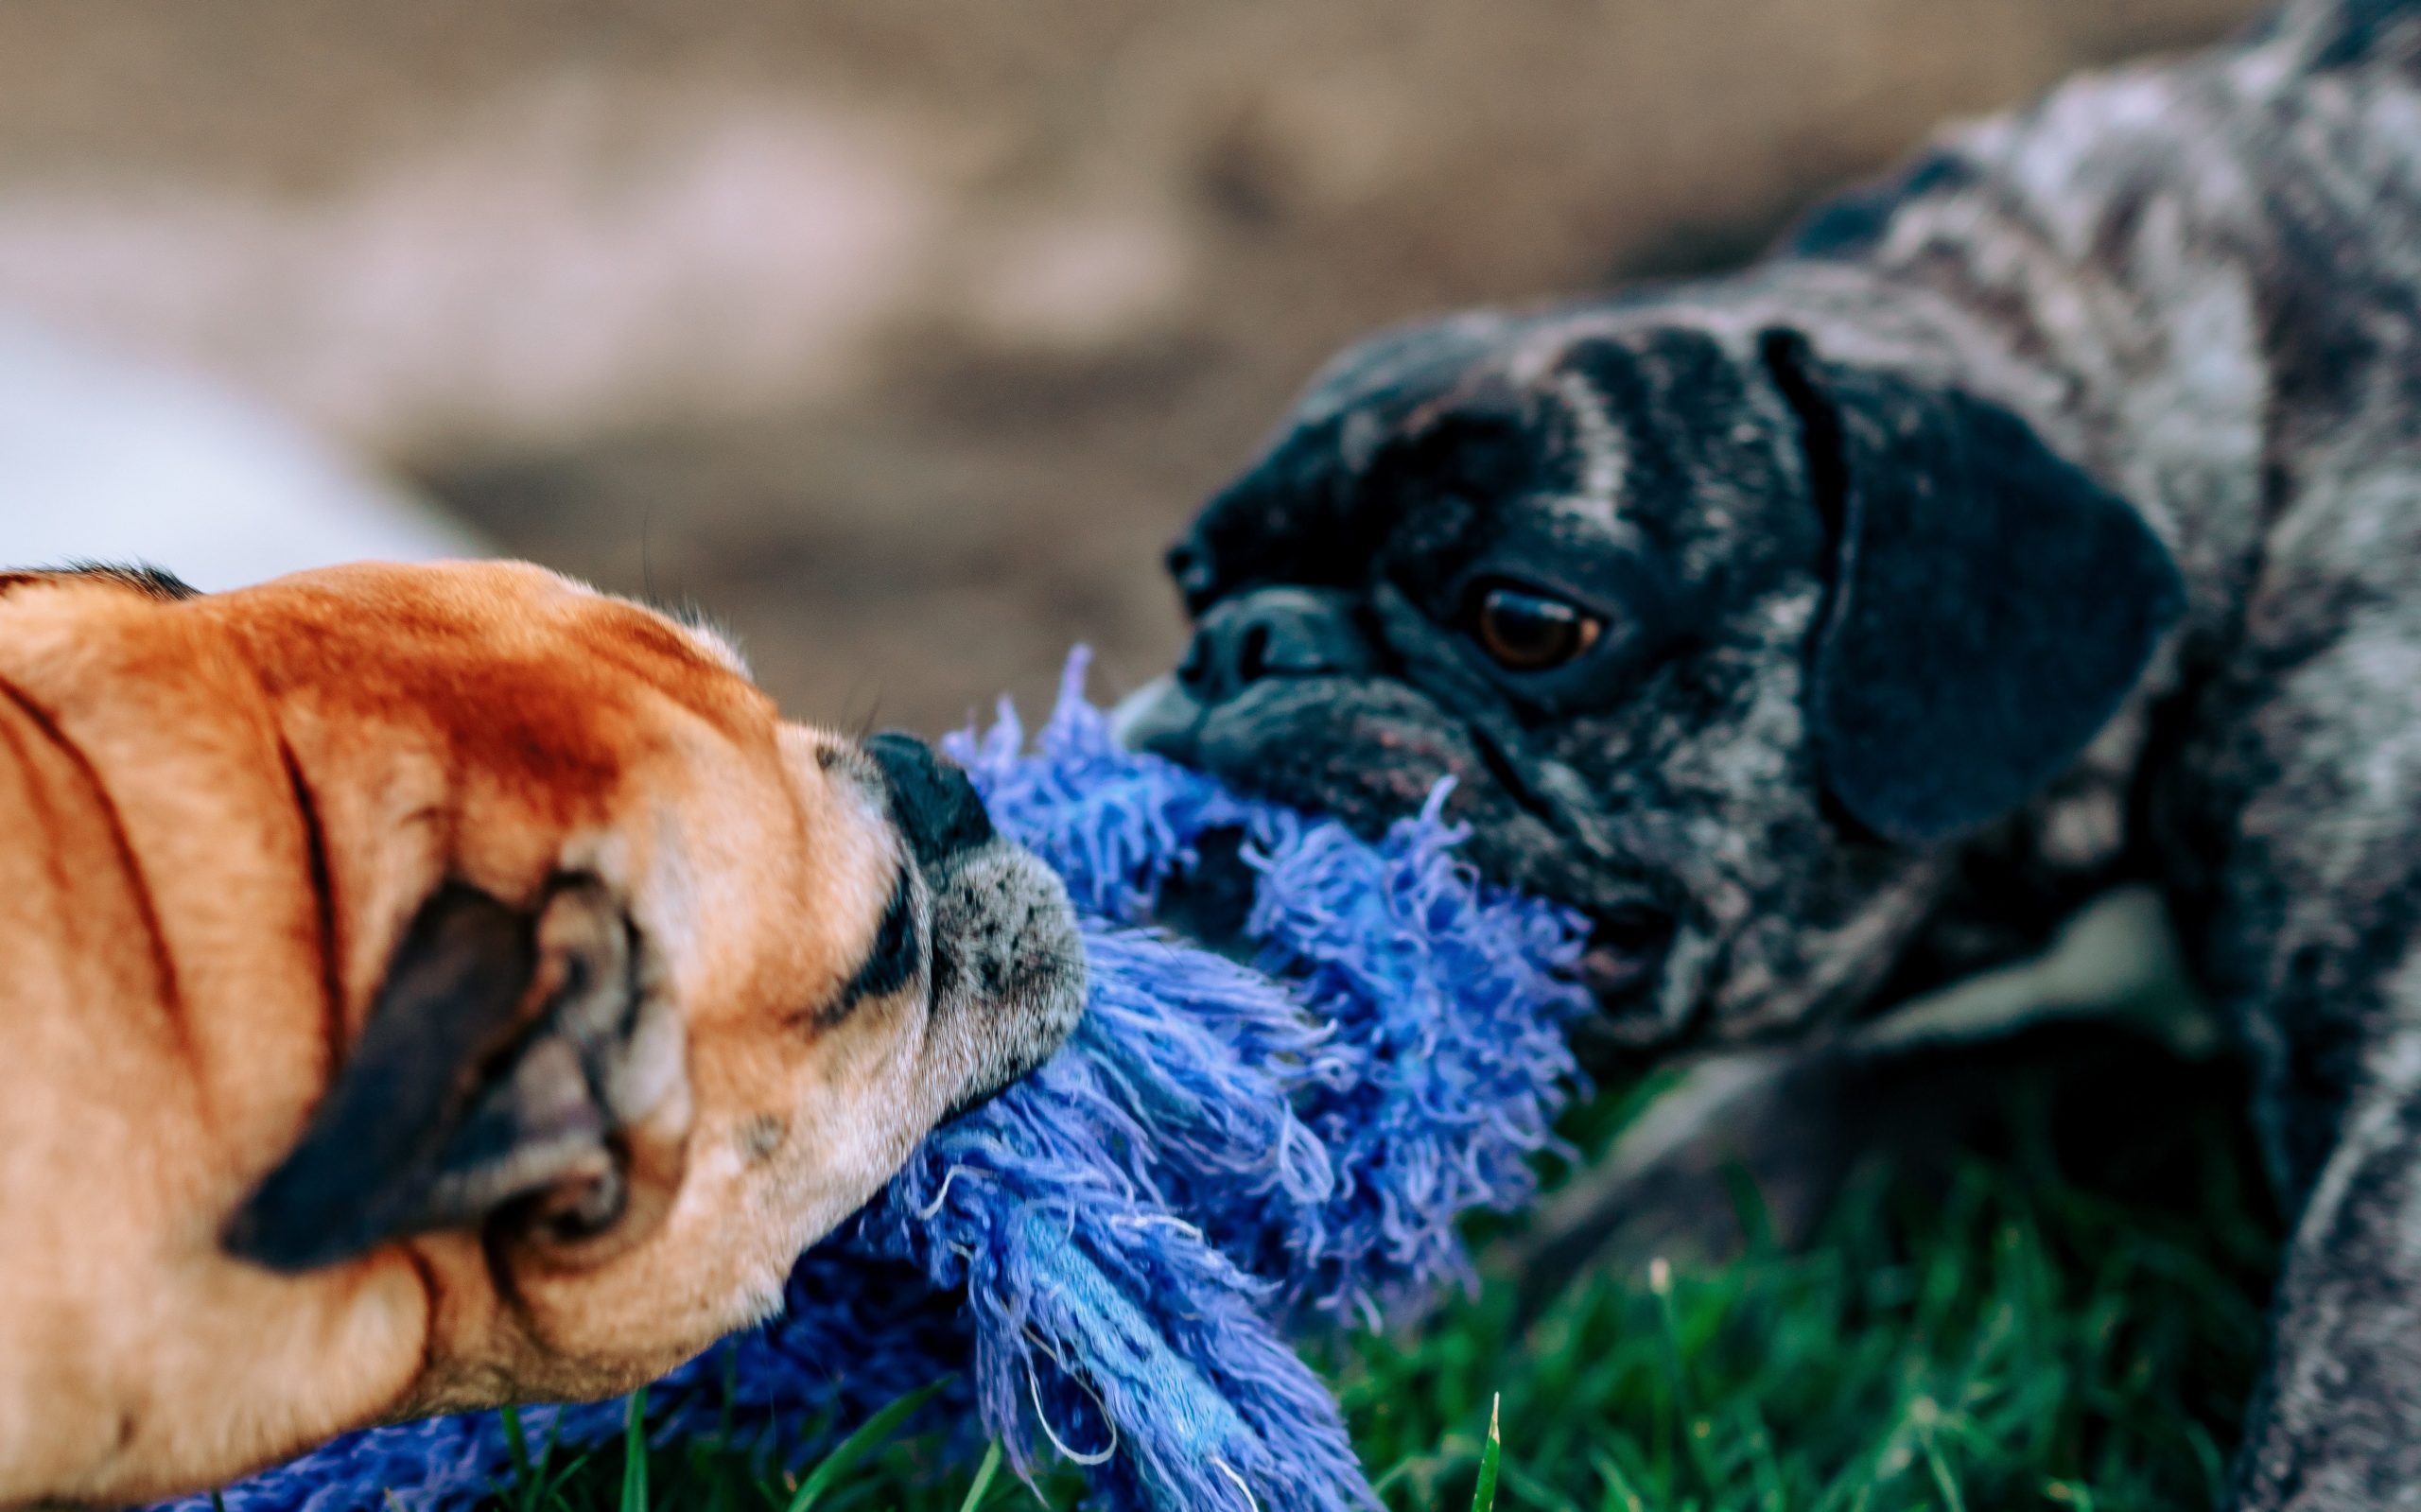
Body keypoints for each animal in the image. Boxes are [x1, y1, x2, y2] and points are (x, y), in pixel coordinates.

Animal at [1123, 6, 2421, 1500]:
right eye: (1192, 582)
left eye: (1526, 619)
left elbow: (2327, 1429)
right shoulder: (1889, 1065)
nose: (1237, 645)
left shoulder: (2394, 1129)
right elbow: (1614, 1239)